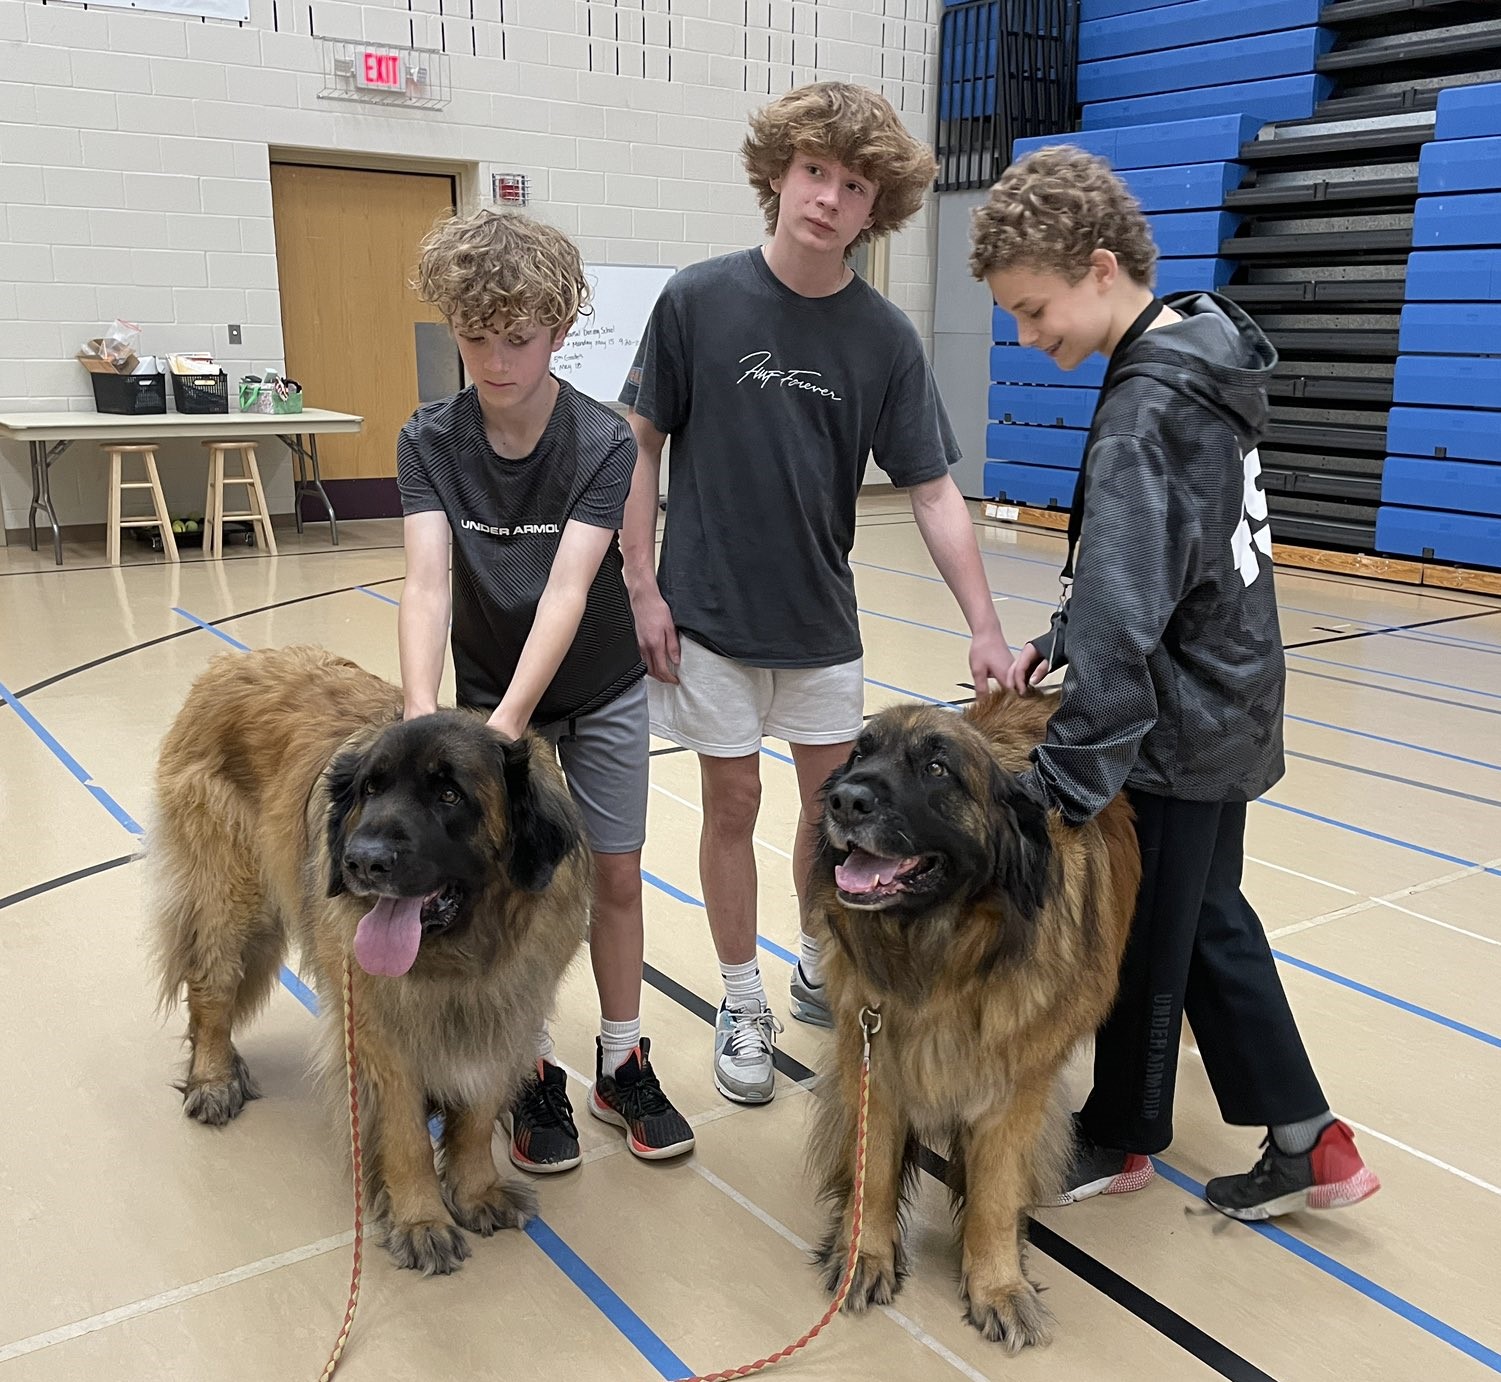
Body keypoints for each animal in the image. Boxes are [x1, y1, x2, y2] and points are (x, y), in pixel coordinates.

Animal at [149, 645, 585, 1272]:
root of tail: (226, 663)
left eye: (449, 795)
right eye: (371, 791)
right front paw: (421, 1220)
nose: (361, 861)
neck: (460, 958)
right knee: (211, 993)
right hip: (230, 903)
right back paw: (213, 1078)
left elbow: (476, 1118)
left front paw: (476, 1191)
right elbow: (405, 1136)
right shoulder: (380, 1031)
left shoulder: (505, 1012)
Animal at [810, 690, 1134, 1350]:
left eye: (937, 769)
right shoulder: (875, 1059)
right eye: (860, 753)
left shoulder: (1015, 1087)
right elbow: (873, 1171)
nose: (844, 799)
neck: (941, 956)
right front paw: (865, 1257)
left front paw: (998, 1286)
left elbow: (994, 1195)